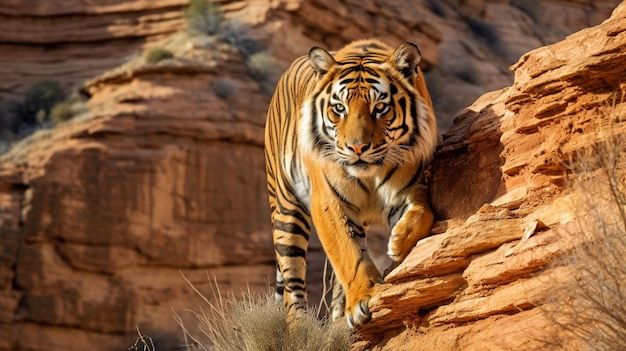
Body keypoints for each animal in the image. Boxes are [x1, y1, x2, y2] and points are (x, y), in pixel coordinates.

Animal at [266, 37, 436, 328]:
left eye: (380, 107)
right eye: (339, 108)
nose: (357, 148)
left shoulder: (409, 187)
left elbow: (424, 212)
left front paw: (399, 241)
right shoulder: (329, 201)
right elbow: (348, 253)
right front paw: (363, 298)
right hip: (287, 210)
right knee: (291, 282)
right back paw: (300, 325)